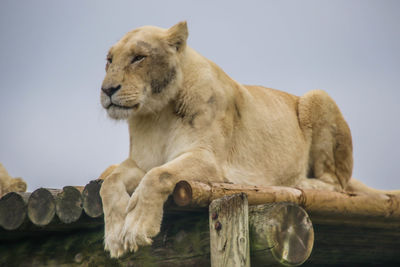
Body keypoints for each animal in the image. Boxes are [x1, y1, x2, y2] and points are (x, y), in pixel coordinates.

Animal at [97, 22, 394, 258]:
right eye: (109, 60)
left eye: (138, 57)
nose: (107, 89)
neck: (157, 114)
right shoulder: (140, 162)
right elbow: (110, 183)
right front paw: (115, 236)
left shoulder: (211, 161)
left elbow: (158, 175)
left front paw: (136, 227)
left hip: (317, 96)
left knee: (338, 184)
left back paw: (301, 182)